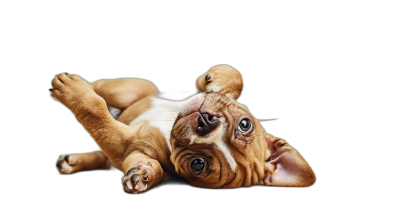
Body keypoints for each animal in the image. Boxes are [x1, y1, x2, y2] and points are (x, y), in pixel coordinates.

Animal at [51, 64, 318, 194]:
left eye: (198, 165)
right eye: (245, 124)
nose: (207, 122)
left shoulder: (124, 145)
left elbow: (96, 114)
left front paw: (145, 174)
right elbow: (234, 76)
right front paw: (218, 84)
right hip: (131, 90)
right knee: (104, 86)